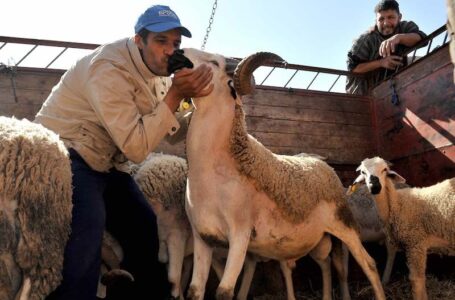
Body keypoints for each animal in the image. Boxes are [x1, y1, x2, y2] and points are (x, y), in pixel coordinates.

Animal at [180, 48, 386, 300]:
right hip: (317, 239)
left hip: (344, 226)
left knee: (367, 263)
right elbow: (194, 292)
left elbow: (224, 292)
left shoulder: (240, 235)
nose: (180, 52)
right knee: (324, 264)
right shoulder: (202, 237)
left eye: (214, 62)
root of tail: (320, 163)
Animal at [350, 157, 454, 300]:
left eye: (385, 169)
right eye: (363, 172)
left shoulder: (416, 244)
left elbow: (417, 281)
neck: (397, 204)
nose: (375, 186)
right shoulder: (412, 245)